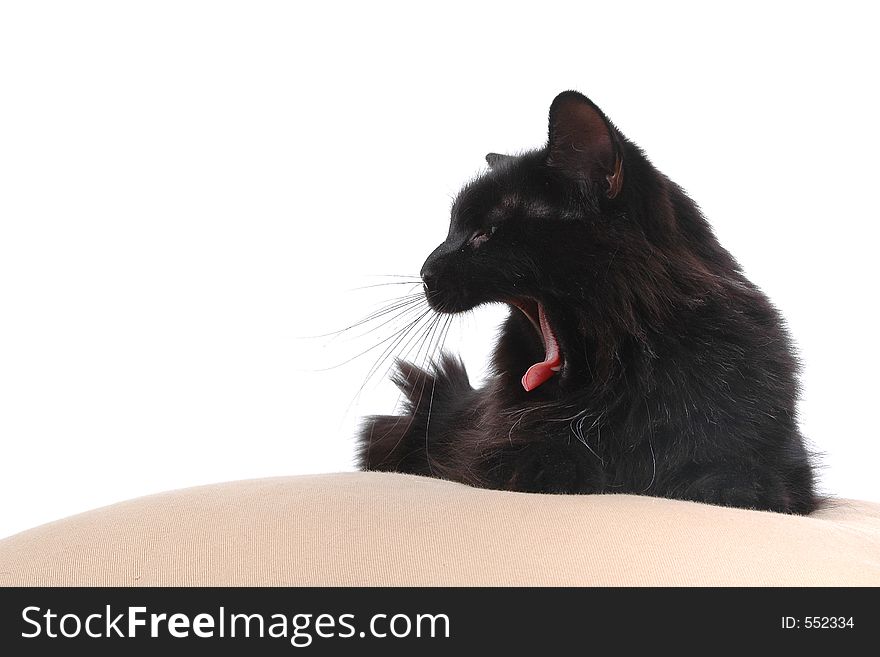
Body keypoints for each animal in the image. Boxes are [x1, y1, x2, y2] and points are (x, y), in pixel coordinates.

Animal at [356, 91, 820, 512]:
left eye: (485, 232)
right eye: (454, 229)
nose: (425, 272)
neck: (626, 372)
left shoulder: (779, 463)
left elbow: (740, 480)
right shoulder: (497, 453)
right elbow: (558, 462)